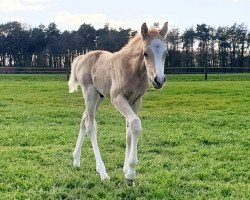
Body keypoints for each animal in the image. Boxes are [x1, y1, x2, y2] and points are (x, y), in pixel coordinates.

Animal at [68, 21, 168, 184]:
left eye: (166, 54)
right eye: (145, 53)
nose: (159, 80)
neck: (133, 70)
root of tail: (81, 58)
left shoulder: (136, 100)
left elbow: (128, 130)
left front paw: (126, 169)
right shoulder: (118, 98)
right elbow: (135, 124)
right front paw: (130, 175)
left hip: (100, 95)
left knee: (84, 118)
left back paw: (76, 160)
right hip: (90, 93)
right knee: (91, 125)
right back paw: (102, 172)